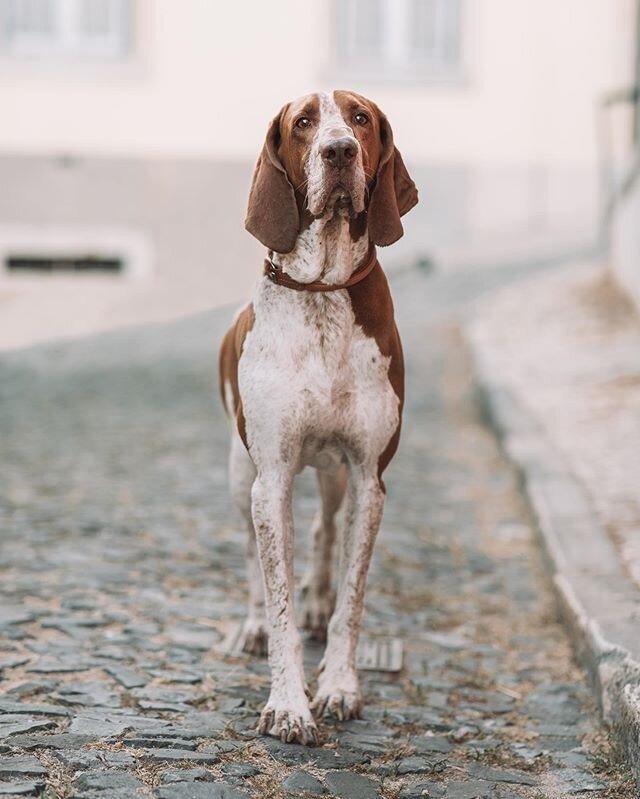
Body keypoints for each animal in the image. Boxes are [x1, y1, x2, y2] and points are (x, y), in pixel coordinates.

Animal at [220, 90, 418, 748]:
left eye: (361, 119)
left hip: (332, 475)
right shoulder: (273, 478)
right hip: (242, 479)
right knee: (252, 561)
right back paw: (252, 624)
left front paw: (338, 687)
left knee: (324, 530)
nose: (338, 151)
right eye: (304, 122)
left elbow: (350, 601)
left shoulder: (367, 478)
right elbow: (276, 593)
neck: (323, 291)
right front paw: (288, 705)